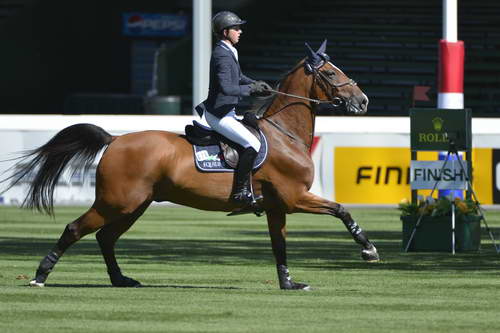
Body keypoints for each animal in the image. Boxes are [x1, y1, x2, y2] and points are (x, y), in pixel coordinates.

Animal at [1, 40, 378, 290]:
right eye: (330, 72)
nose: (362, 101)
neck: (285, 134)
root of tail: (115, 139)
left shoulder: (277, 207)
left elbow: (279, 246)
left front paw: (289, 283)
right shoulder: (295, 197)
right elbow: (342, 209)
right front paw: (369, 249)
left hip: (134, 205)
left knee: (106, 237)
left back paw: (120, 279)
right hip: (116, 202)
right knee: (75, 229)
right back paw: (40, 276)